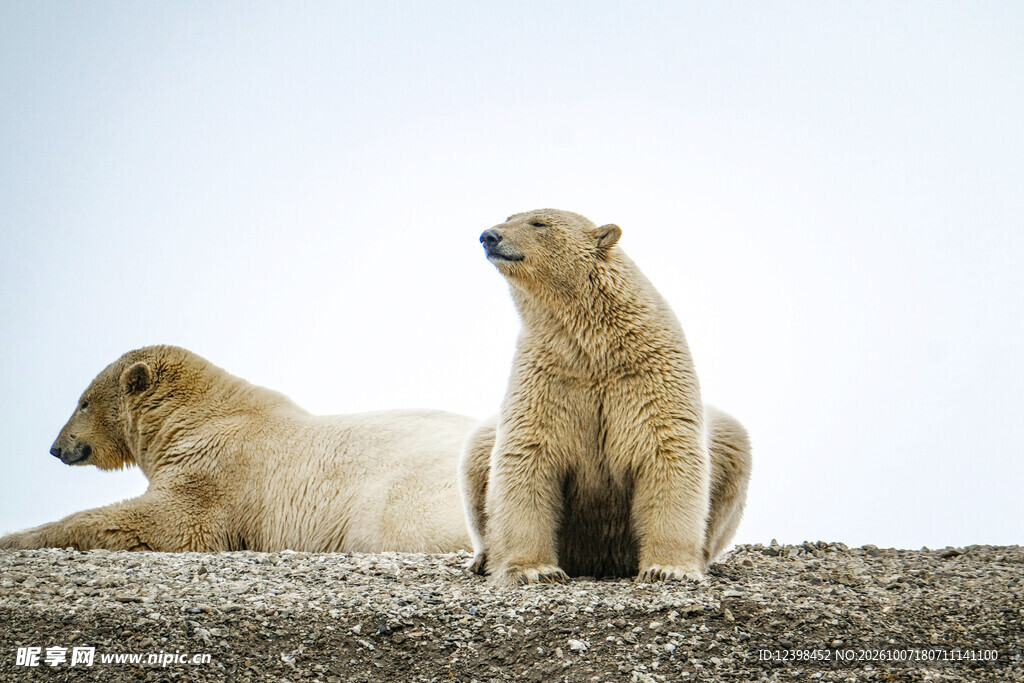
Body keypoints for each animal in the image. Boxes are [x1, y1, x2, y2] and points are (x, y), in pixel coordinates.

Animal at [0, 345, 474, 553]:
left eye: (82, 402)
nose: (55, 447)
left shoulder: (216, 471)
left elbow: (167, 521)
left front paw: (15, 536)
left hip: (397, 497)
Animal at [459, 209, 752, 586]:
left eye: (539, 223)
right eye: (509, 216)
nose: (488, 236)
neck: (594, 347)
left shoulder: (648, 375)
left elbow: (667, 453)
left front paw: (668, 568)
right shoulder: (547, 376)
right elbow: (527, 454)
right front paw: (534, 569)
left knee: (733, 444)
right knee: (478, 451)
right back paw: (482, 558)